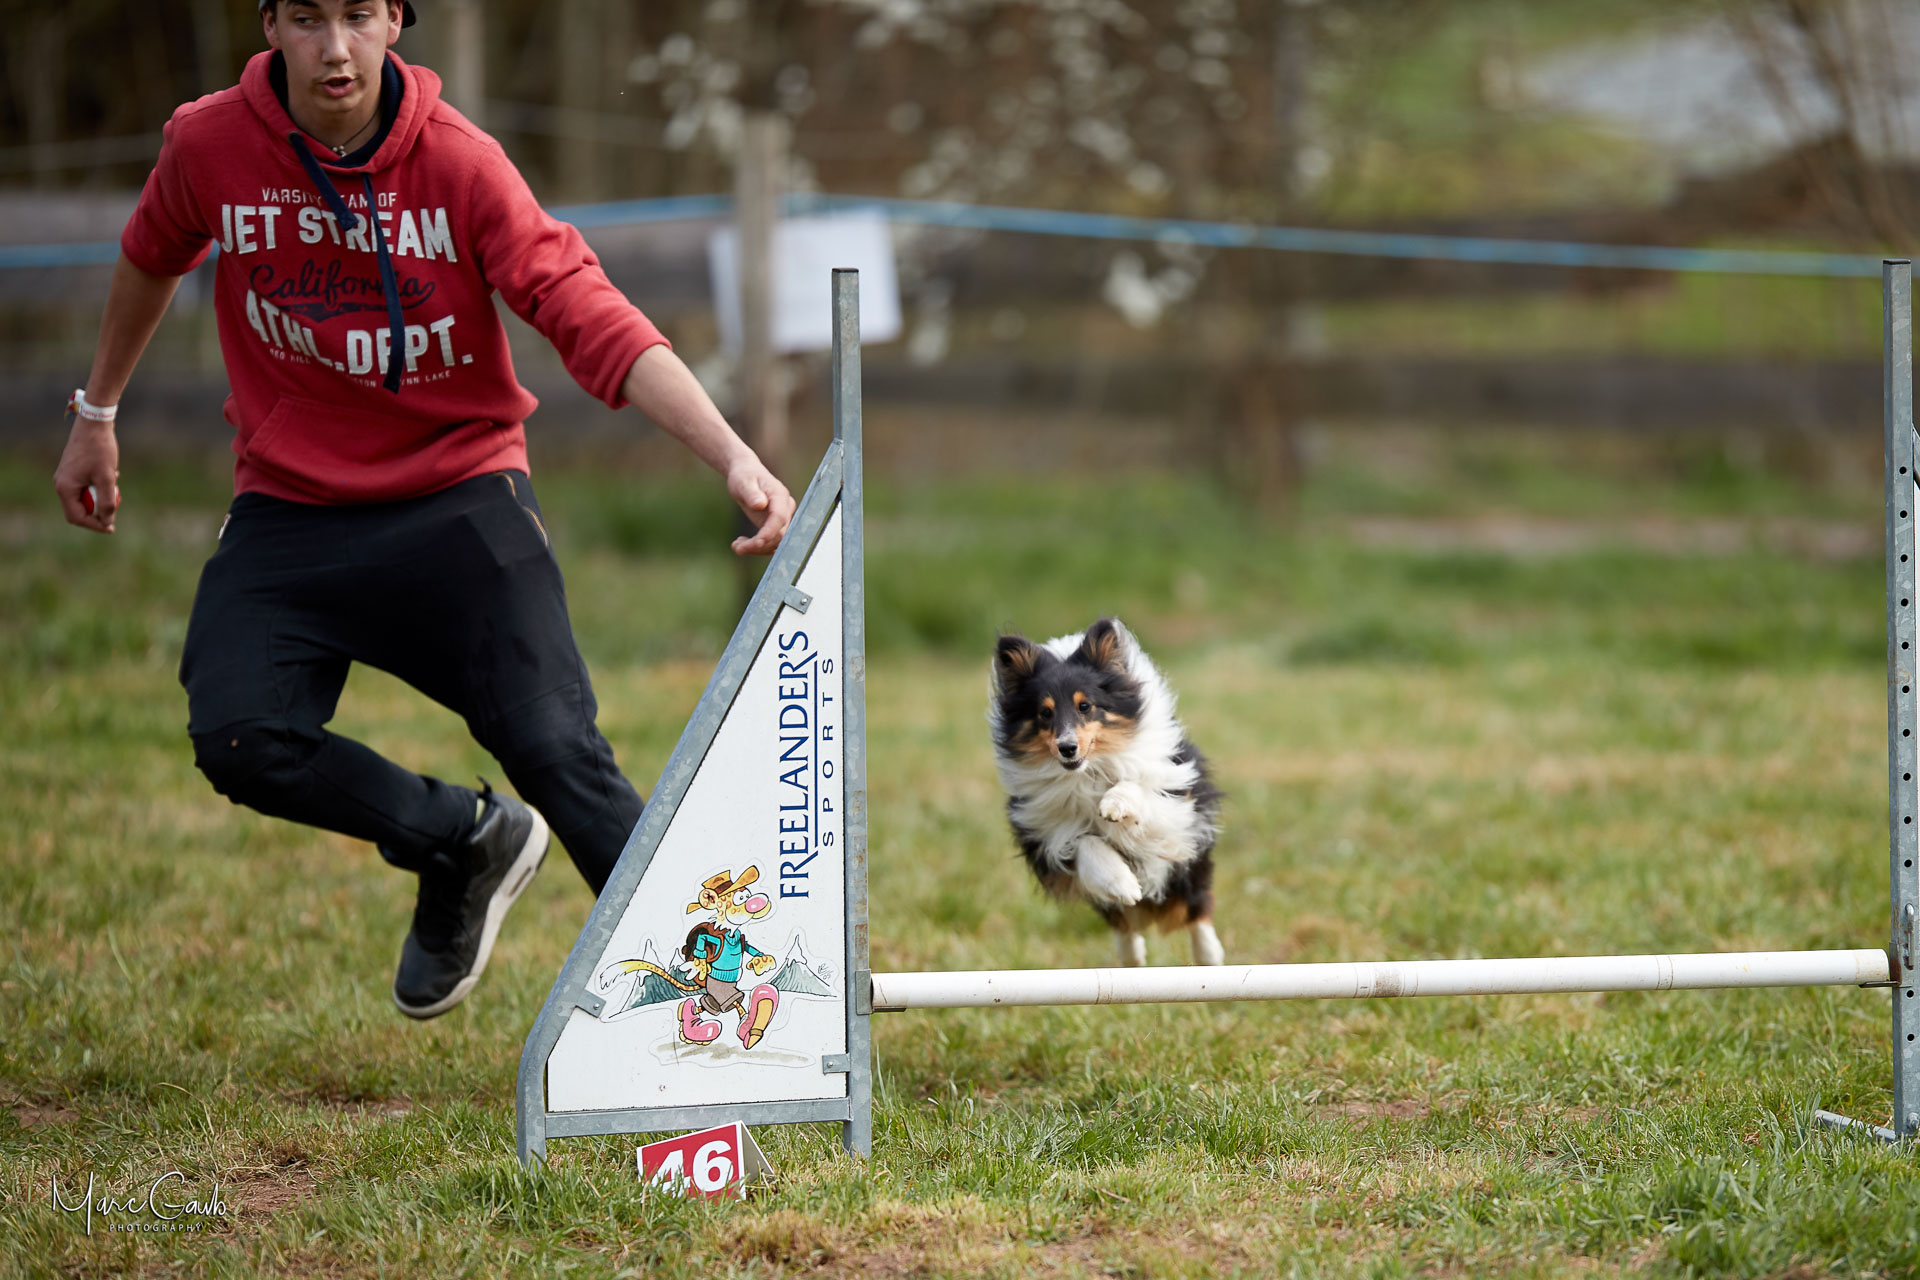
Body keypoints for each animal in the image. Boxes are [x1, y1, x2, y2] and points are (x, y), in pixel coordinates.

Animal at [988, 617, 1224, 966]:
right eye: (1044, 713)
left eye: (1085, 706)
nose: (1067, 748)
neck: (1088, 772)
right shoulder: (1045, 833)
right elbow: (1086, 844)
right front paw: (1124, 884)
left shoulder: (1173, 804)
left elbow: (1135, 785)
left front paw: (1115, 804)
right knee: (1125, 923)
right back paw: (1131, 955)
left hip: (1189, 864)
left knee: (1196, 909)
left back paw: (1210, 956)